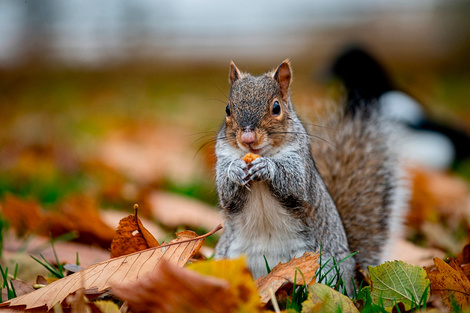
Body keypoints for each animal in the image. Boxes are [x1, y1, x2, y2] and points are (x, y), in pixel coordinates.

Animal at [213, 59, 408, 290]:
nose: (248, 138)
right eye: (228, 109)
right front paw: (234, 170)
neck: (260, 153)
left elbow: (294, 184)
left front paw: (267, 167)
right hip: (227, 260)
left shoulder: (300, 166)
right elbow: (226, 193)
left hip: (324, 267)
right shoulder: (223, 158)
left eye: (276, 107)